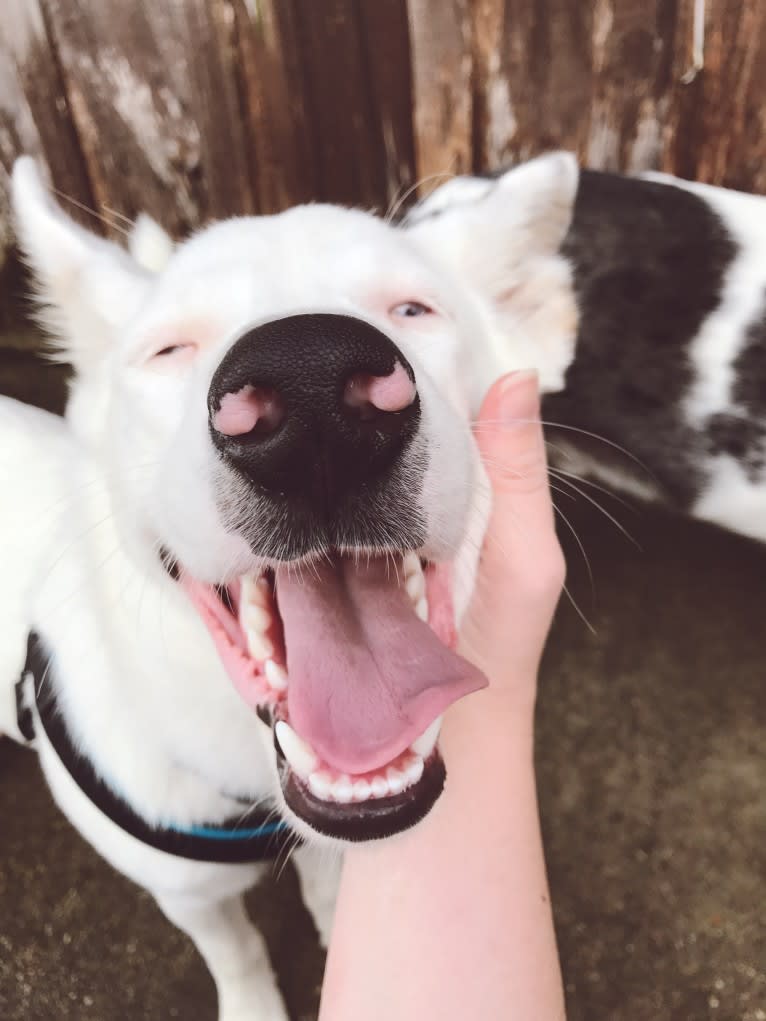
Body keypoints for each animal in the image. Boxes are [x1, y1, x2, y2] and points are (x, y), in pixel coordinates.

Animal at [0, 153, 763, 1021]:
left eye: (413, 308)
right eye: (168, 349)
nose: (311, 388)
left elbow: (330, 895)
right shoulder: (189, 895)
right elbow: (238, 951)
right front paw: (253, 1005)